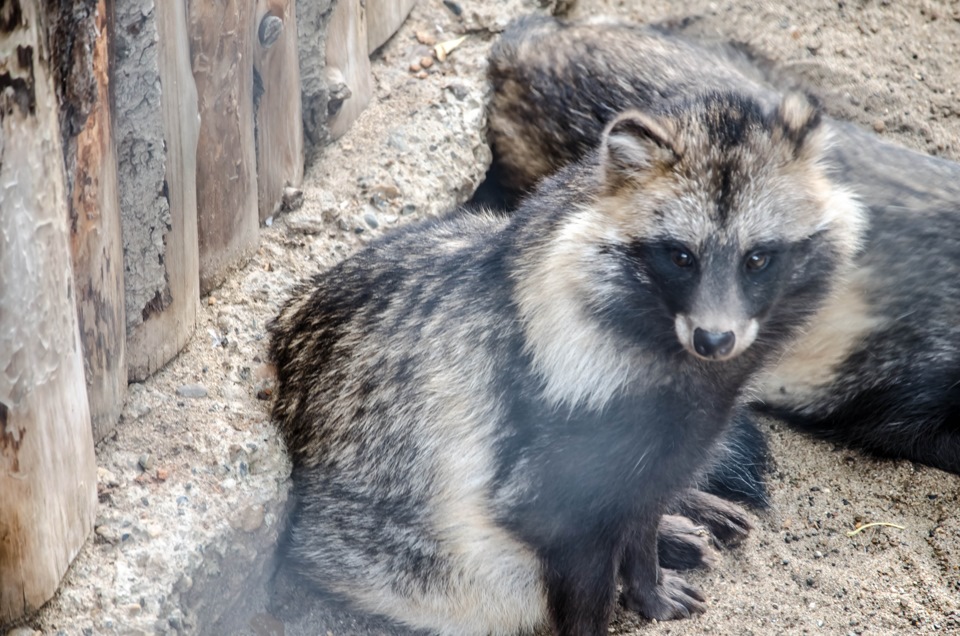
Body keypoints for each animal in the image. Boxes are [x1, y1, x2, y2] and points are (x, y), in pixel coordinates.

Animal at [268, 87, 864, 632]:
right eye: (680, 256)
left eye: (757, 258)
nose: (714, 339)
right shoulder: (549, 449)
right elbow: (581, 568)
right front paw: (635, 578)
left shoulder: (676, 431)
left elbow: (643, 510)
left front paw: (650, 572)